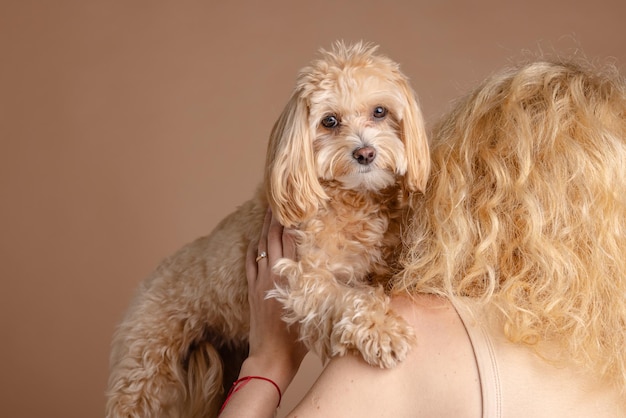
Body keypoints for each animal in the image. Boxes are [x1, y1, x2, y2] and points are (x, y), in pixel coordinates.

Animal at [106, 41, 428, 418]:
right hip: (146, 367)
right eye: (329, 121)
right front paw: (384, 331)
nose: (365, 153)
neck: (351, 199)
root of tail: (149, 280)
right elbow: (346, 297)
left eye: (380, 112)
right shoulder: (301, 277)